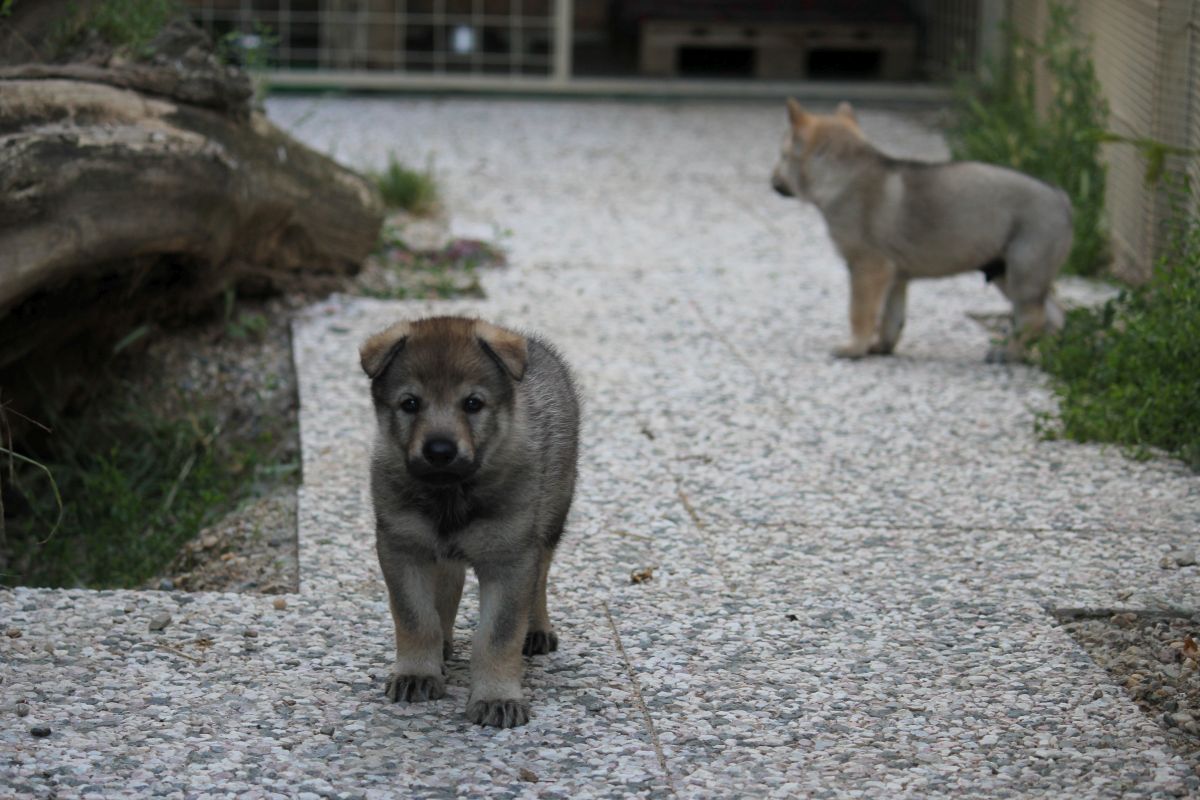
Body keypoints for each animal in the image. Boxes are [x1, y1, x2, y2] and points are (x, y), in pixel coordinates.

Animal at [357, 316, 578, 729]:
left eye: (473, 403)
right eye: (410, 403)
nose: (440, 451)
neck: (450, 494)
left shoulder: (510, 558)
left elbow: (498, 636)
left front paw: (496, 696)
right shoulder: (402, 547)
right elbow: (416, 617)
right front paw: (417, 672)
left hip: (552, 518)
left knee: (540, 577)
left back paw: (537, 629)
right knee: (449, 587)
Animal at [772, 98, 1075, 362]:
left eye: (783, 156)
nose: (772, 180)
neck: (843, 170)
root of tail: (1062, 199)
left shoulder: (866, 268)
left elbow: (860, 312)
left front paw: (854, 348)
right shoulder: (895, 276)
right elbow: (891, 317)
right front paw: (880, 347)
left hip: (1024, 271)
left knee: (1032, 318)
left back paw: (1009, 354)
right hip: (1007, 273)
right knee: (1055, 314)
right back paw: (1044, 354)